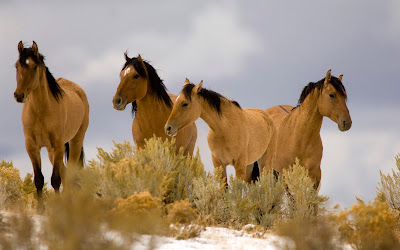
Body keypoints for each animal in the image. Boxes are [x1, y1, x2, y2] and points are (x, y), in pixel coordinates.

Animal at [14, 41, 90, 211]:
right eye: (17, 66)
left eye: (34, 67)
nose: (19, 95)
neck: (41, 111)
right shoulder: (32, 146)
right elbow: (39, 179)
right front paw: (40, 209)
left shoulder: (58, 145)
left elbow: (55, 179)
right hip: (50, 151)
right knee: (66, 173)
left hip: (74, 142)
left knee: (70, 175)